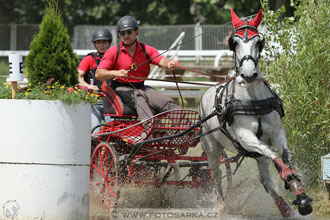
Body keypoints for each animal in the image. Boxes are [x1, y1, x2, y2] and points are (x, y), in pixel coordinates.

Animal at [199, 8, 312, 217]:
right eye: (234, 42)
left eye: (259, 41)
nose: (248, 75)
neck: (254, 102)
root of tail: (207, 92)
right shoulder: (246, 137)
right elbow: (271, 151)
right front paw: (289, 177)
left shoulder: (276, 132)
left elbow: (286, 155)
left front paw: (300, 193)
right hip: (211, 148)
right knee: (216, 175)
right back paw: (221, 205)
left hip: (255, 155)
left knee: (265, 182)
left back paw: (285, 209)